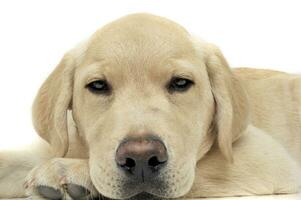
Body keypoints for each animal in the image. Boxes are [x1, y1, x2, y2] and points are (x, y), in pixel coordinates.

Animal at [0, 13, 300, 199]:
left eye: (181, 83)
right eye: (98, 86)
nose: (142, 158)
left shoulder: (264, 156)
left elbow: (193, 172)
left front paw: (72, 172)